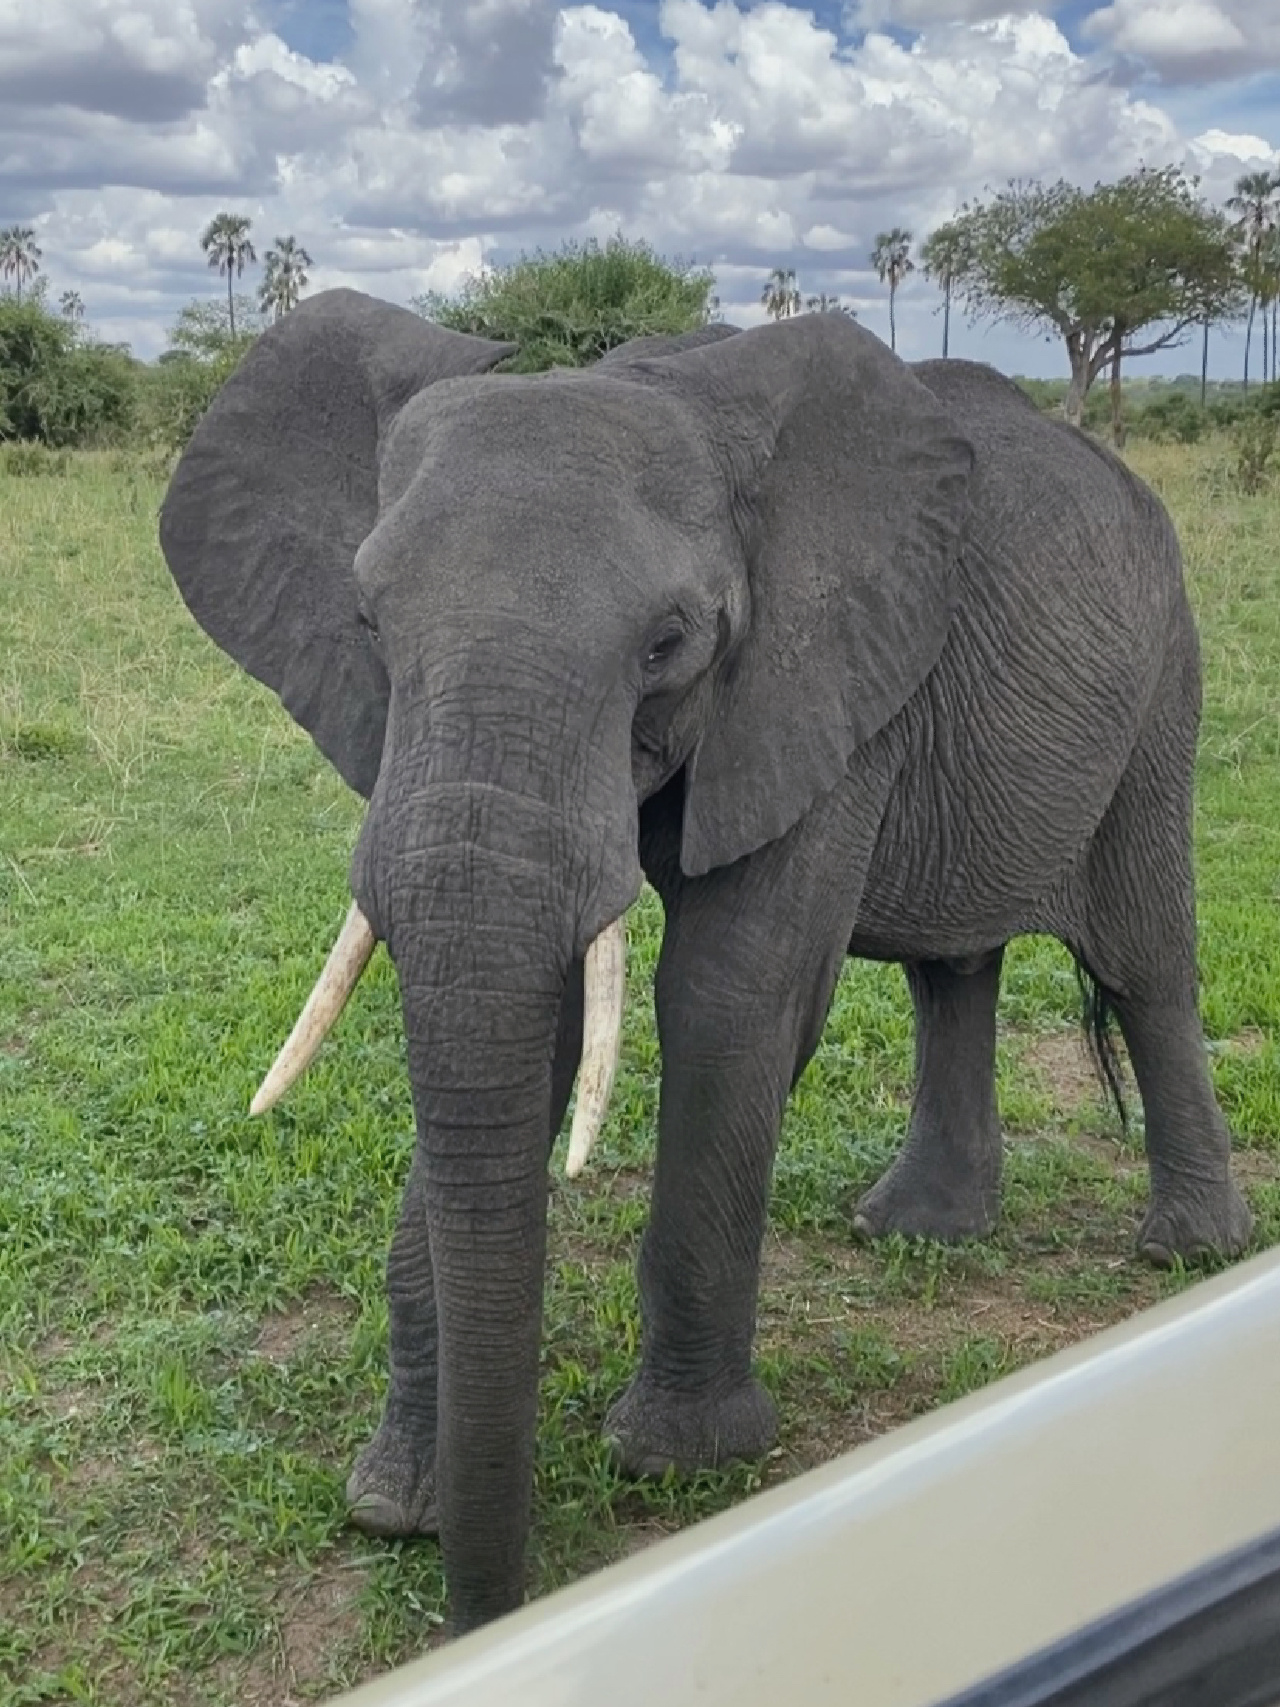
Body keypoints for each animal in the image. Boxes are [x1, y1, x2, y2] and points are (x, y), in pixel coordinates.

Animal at [157, 290, 1256, 1638]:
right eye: (367, 624)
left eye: (667, 642)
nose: (485, 1613)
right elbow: (539, 1018)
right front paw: (391, 1503)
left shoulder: (822, 662)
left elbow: (728, 992)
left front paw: (679, 1464)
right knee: (951, 968)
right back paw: (918, 1234)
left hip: (1165, 675)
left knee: (1146, 956)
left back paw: (1186, 1253)